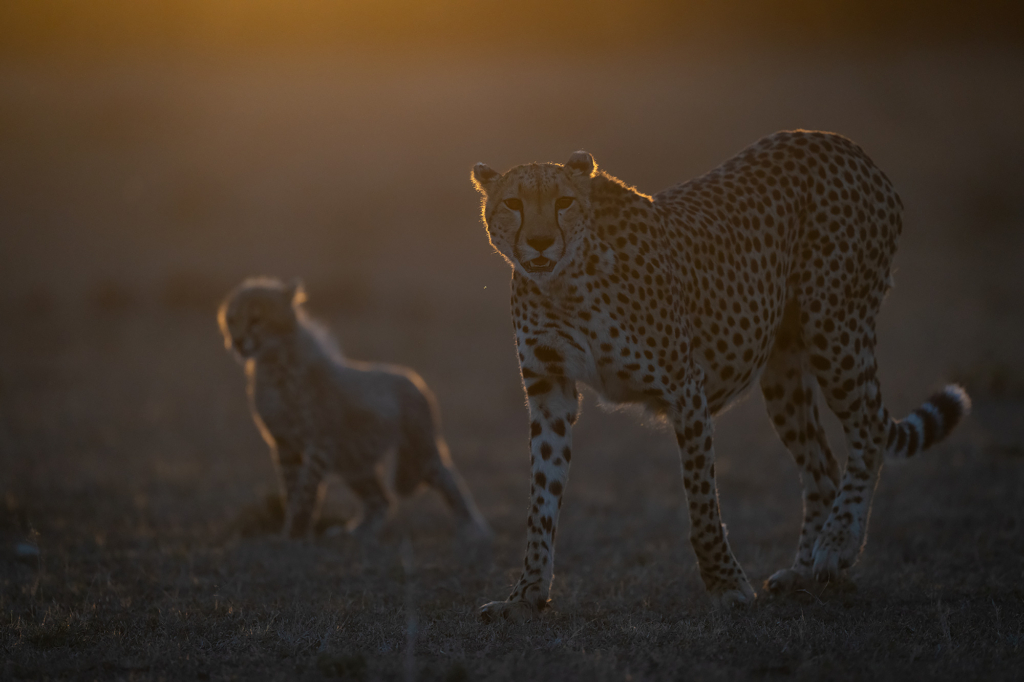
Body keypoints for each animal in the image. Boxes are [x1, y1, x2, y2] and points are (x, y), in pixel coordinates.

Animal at [216, 278, 491, 540]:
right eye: (231, 319)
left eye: (256, 319)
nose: (237, 341)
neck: (273, 364)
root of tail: (413, 378)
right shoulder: (283, 444)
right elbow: (292, 490)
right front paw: (289, 533)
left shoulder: (320, 441)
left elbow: (306, 491)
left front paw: (296, 534)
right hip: (354, 461)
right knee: (381, 500)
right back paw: (359, 533)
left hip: (419, 451)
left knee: (448, 479)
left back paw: (473, 528)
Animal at [468, 130, 966, 618]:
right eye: (513, 204)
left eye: (564, 202)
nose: (538, 242)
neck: (563, 282)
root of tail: (841, 143)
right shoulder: (549, 391)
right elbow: (542, 500)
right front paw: (526, 594)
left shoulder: (686, 389)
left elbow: (701, 501)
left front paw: (726, 584)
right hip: (784, 369)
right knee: (821, 463)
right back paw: (805, 573)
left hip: (836, 329)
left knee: (868, 433)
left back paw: (838, 542)